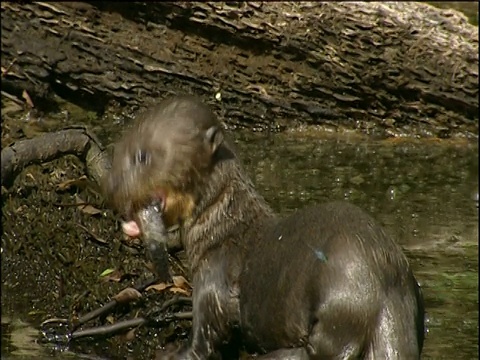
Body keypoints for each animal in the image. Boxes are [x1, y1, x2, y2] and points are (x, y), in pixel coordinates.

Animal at [104, 96, 424, 360]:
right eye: (119, 150)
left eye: (142, 156)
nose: (113, 189)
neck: (222, 225)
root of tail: (386, 289)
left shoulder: (213, 279)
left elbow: (206, 335)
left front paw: (174, 353)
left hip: (340, 299)